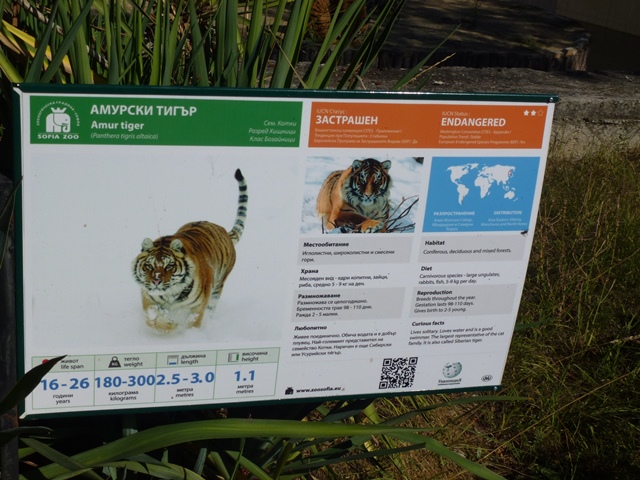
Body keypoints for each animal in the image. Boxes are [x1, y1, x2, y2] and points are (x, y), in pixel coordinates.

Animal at [132, 169, 247, 333]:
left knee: (211, 309)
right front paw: (171, 326)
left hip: (218, 286)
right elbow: (154, 320)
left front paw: (186, 333)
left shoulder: (197, 307)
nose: (156, 281)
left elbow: (193, 322)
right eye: (149, 265)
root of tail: (224, 231)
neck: (169, 295)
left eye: (169, 266)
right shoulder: (149, 300)